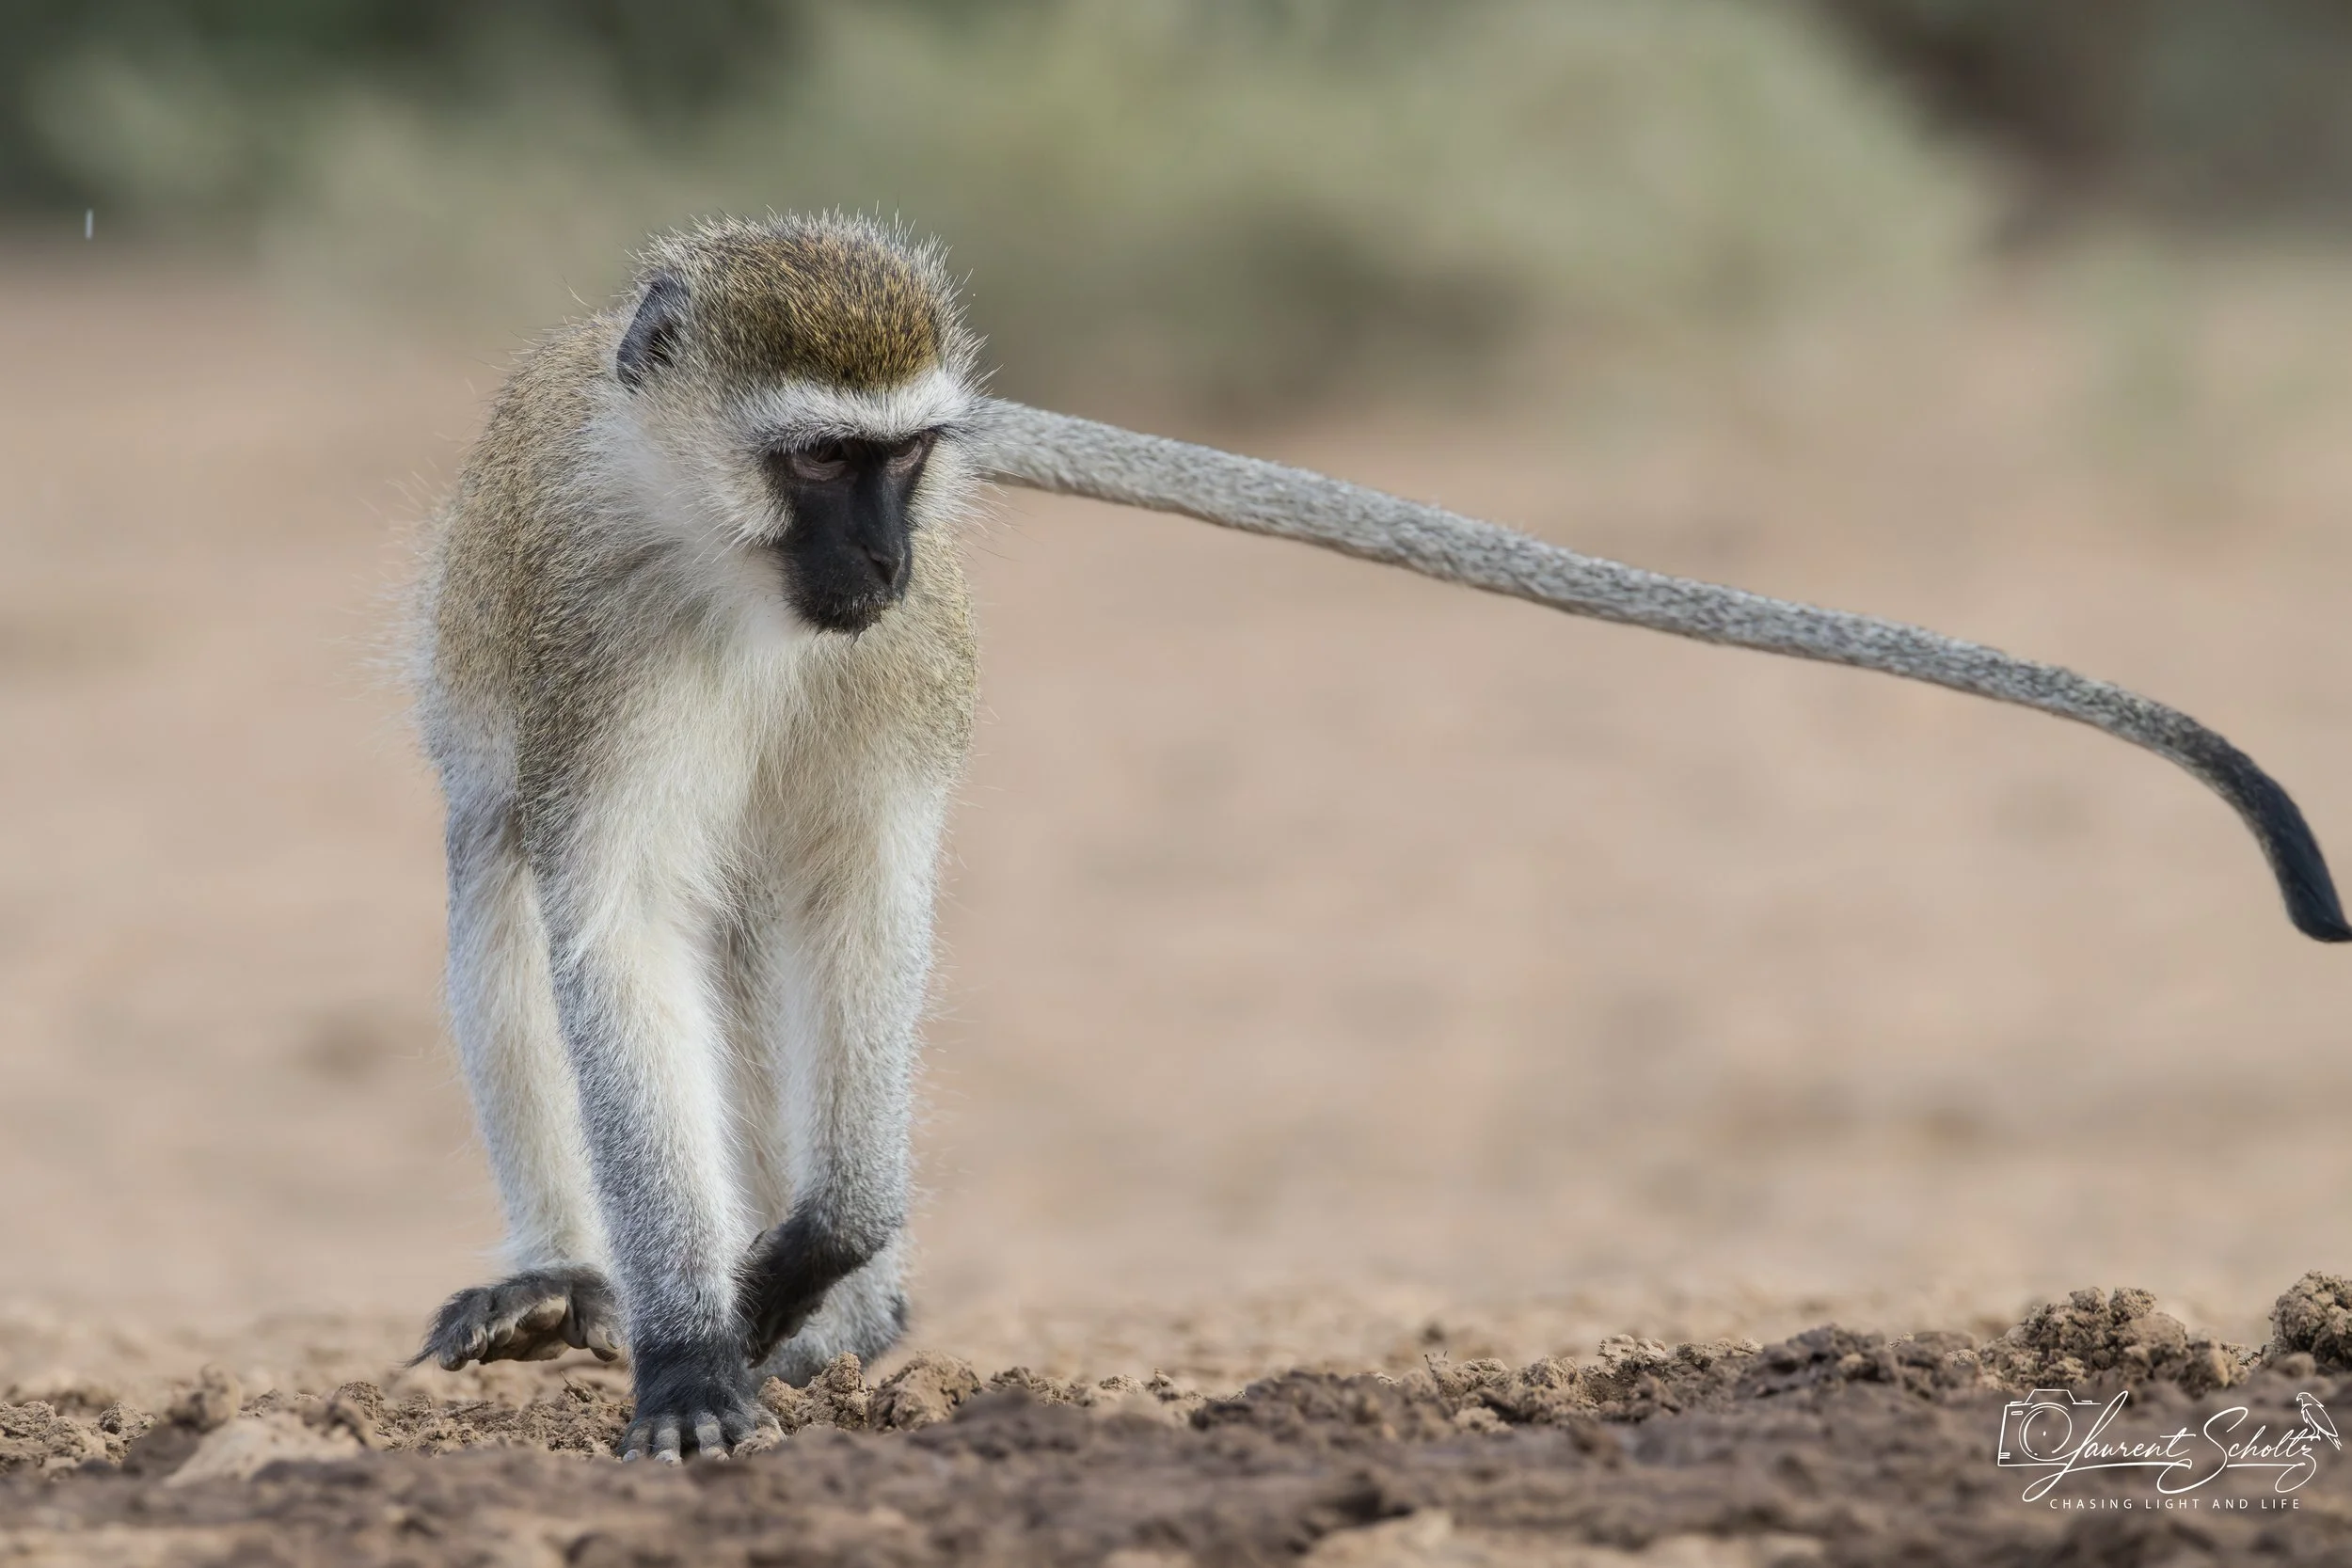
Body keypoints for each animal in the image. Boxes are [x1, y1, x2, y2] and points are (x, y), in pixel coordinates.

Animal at [411, 212, 2344, 1465]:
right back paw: (569, 1280)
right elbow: (613, 923)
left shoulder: (907, 663)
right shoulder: (598, 648)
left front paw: (814, 1258)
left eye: (903, 461)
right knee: (507, 873)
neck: (729, 568)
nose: (881, 561)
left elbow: (864, 895)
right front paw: (685, 1345)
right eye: (816, 463)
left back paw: (837, 1316)